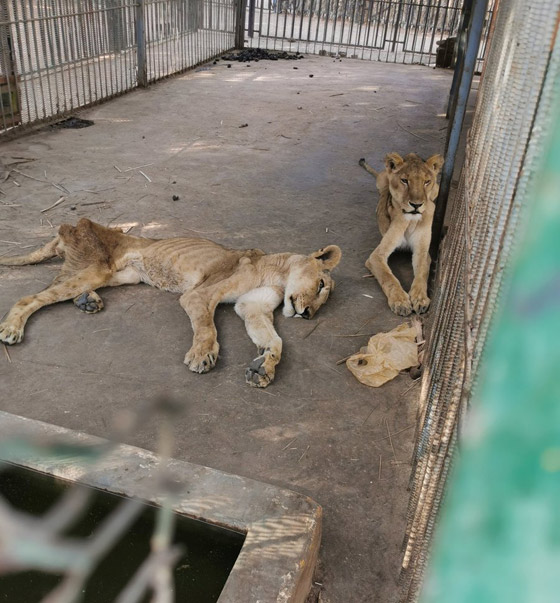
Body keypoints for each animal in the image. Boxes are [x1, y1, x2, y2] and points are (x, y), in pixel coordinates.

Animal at [0, 219, 342, 390]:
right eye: (321, 286)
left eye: (323, 301)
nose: (307, 314)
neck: (277, 275)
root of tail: (70, 226)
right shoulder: (198, 295)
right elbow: (207, 327)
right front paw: (202, 356)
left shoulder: (251, 307)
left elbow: (275, 341)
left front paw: (264, 367)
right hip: (93, 268)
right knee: (31, 297)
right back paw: (11, 330)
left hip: (118, 276)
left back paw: (88, 301)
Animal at [358, 152, 446, 316]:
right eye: (404, 180)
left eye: (427, 182)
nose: (416, 205)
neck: (410, 221)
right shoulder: (376, 256)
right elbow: (389, 277)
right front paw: (400, 301)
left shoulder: (422, 252)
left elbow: (422, 273)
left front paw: (420, 298)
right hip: (382, 181)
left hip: (436, 190)